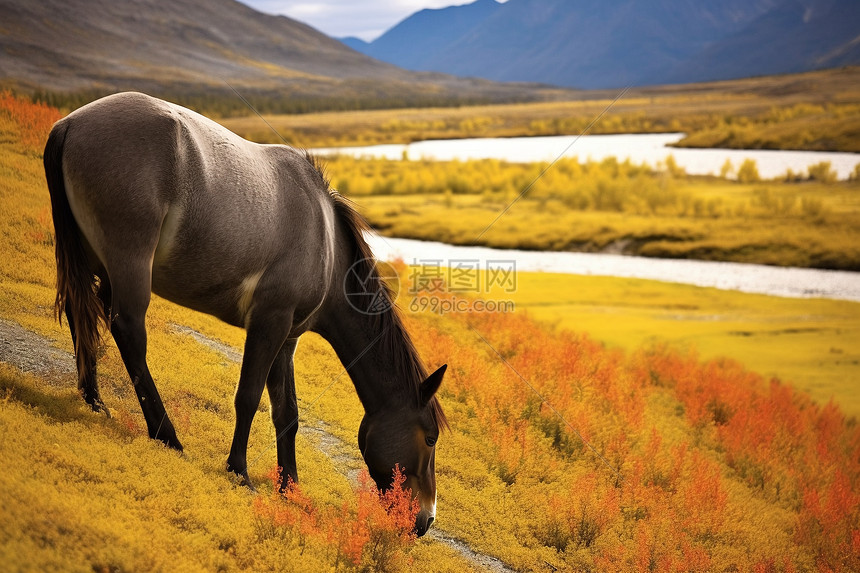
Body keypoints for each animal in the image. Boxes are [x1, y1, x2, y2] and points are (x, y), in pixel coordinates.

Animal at [43, 91, 446, 536]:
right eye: (430, 438)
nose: (426, 520)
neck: (325, 240)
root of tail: (70, 124)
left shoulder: (287, 338)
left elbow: (288, 413)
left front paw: (290, 488)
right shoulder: (269, 323)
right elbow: (249, 397)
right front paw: (239, 470)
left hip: (92, 264)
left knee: (82, 314)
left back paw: (94, 399)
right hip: (129, 265)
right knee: (128, 332)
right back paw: (166, 435)